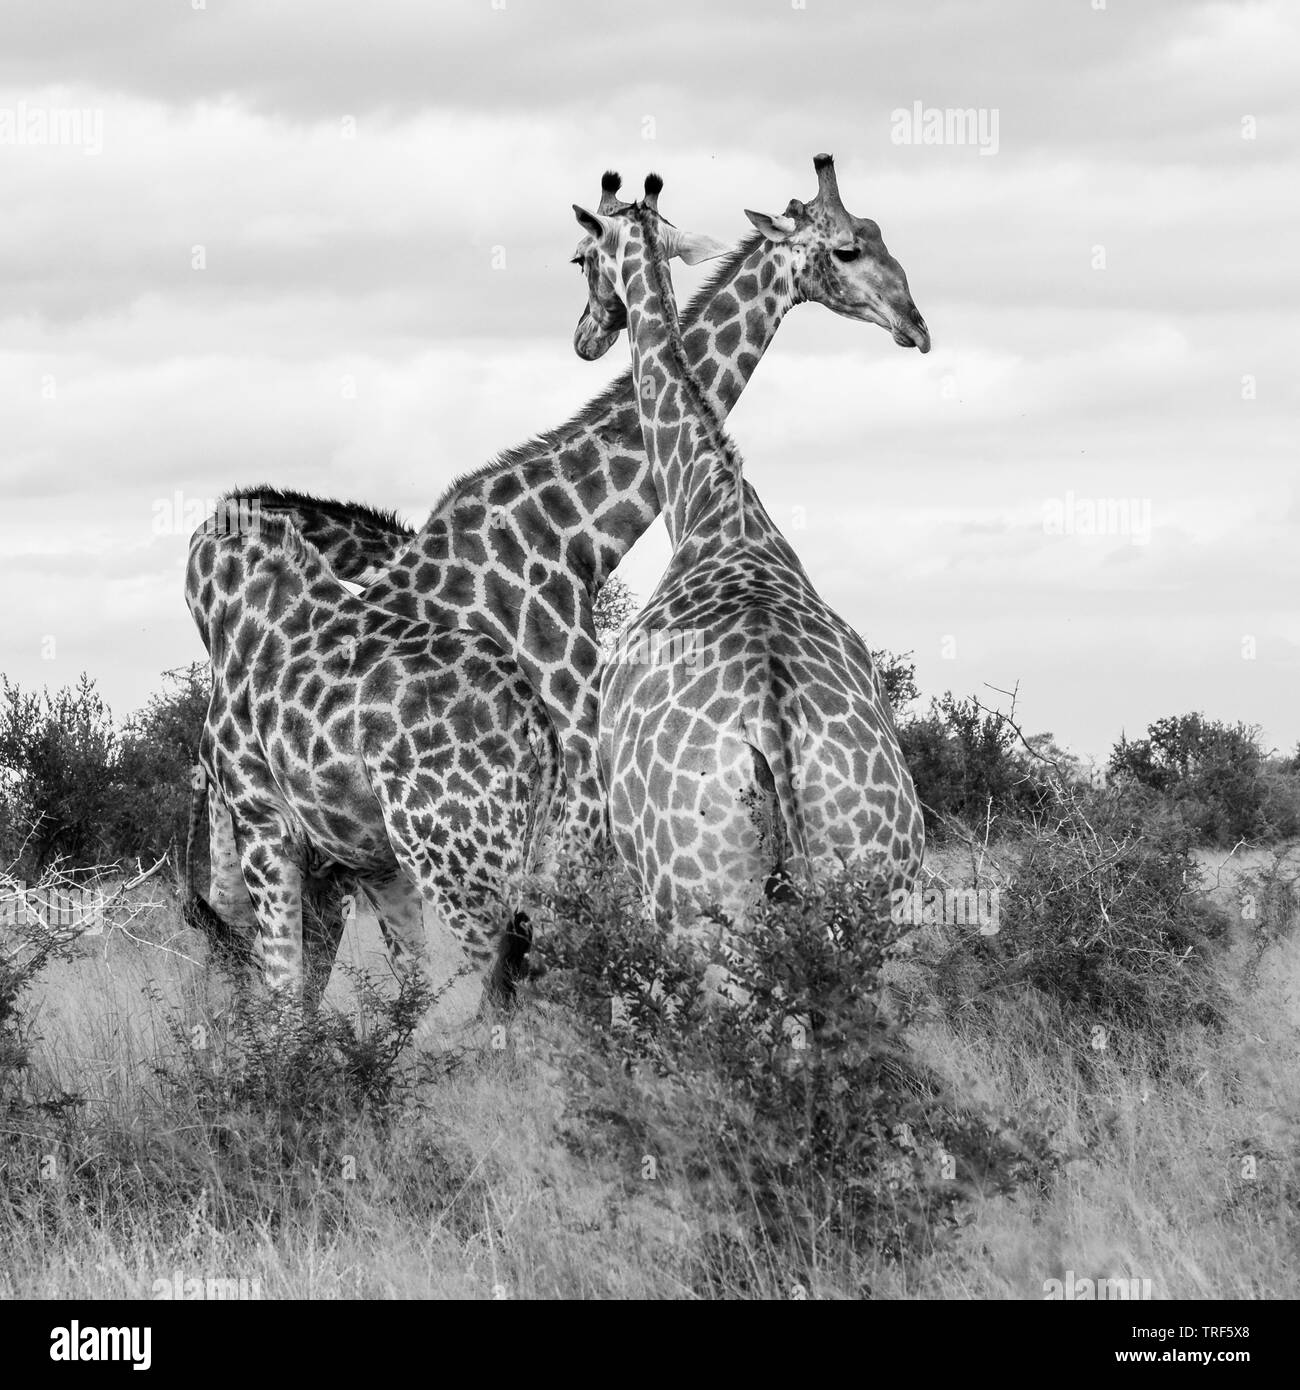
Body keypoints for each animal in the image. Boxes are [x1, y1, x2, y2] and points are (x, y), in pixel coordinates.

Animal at [184, 508, 564, 1000]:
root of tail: (531, 715)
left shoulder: (263, 827)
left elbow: (286, 986)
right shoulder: (366, 864)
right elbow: (403, 974)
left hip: (453, 861)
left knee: (496, 971)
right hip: (543, 845)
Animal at [570, 170, 923, 934]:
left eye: (580, 256)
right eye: (856, 242)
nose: (586, 335)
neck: (708, 501)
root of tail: (773, 722)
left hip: (694, 906)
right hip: (884, 890)